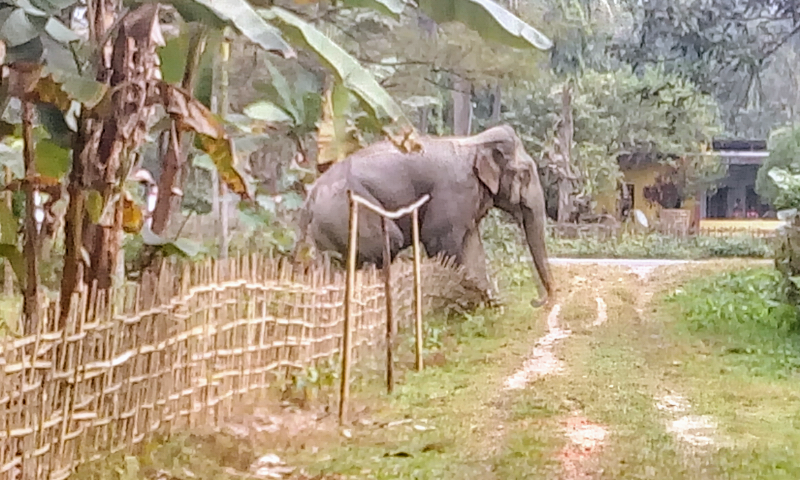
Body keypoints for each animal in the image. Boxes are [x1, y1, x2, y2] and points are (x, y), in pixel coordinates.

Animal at [296, 124, 554, 308]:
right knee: (389, 242)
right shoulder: (455, 190)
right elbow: (440, 241)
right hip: (348, 211)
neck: (473, 141)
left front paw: (488, 302)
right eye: (525, 174)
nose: (537, 301)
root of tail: (311, 195)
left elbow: (472, 245)